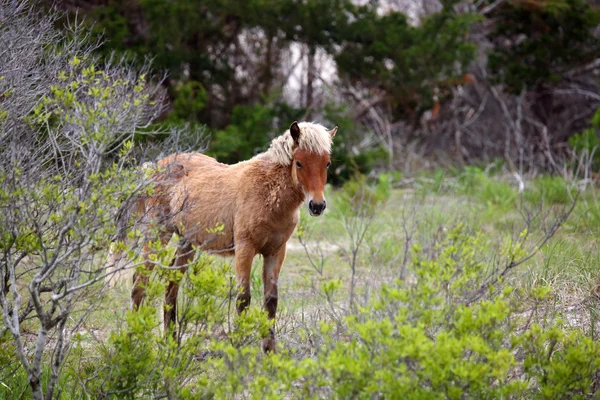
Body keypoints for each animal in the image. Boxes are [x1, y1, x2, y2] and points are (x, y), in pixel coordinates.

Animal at [120, 120, 338, 352]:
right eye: (298, 163)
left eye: (327, 163)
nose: (317, 205)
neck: (267, 192)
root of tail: (156, 167)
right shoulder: (245, 248)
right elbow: (243, 298)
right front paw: (238, 349)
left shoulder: (276, 252)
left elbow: (271, 301)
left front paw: (270, 352)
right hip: (158, 233)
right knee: (139, 280)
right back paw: (131, 340)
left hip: (187, 242)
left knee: (171, 283)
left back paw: (170, 342)